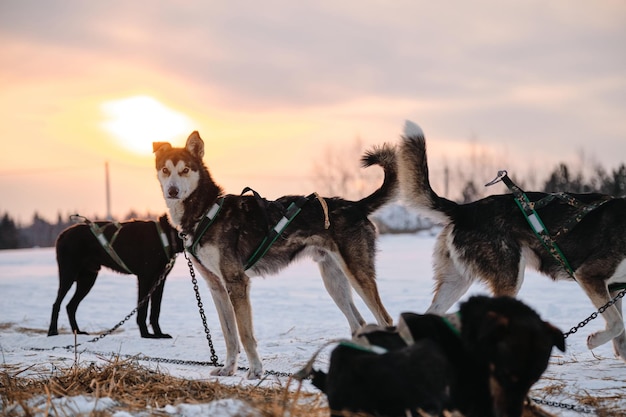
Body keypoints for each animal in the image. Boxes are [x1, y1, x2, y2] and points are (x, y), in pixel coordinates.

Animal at [47, 214, 182, 338]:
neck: (166, 235)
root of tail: (62, 234)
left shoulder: (160, 280)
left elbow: (155, 310)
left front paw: (159, 334)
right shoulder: (145, 278)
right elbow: (142, 310)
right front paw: (145, 334)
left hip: (88, 280)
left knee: (70, 306)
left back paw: (78, 332)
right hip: (68, 275)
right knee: (56, 304)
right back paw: (52, 331)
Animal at [152, 131, 394, 376]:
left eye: (185, 169)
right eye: (165, 170)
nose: (172, 191)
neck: (206, 211)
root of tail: (356, 205)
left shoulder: (236, 283)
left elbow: (244, 335)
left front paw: (255, 371)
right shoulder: (217, 286)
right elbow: (230, 336)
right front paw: (228, 369)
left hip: (357, 275)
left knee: (385, 320)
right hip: (334, 283)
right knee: (359, 324)